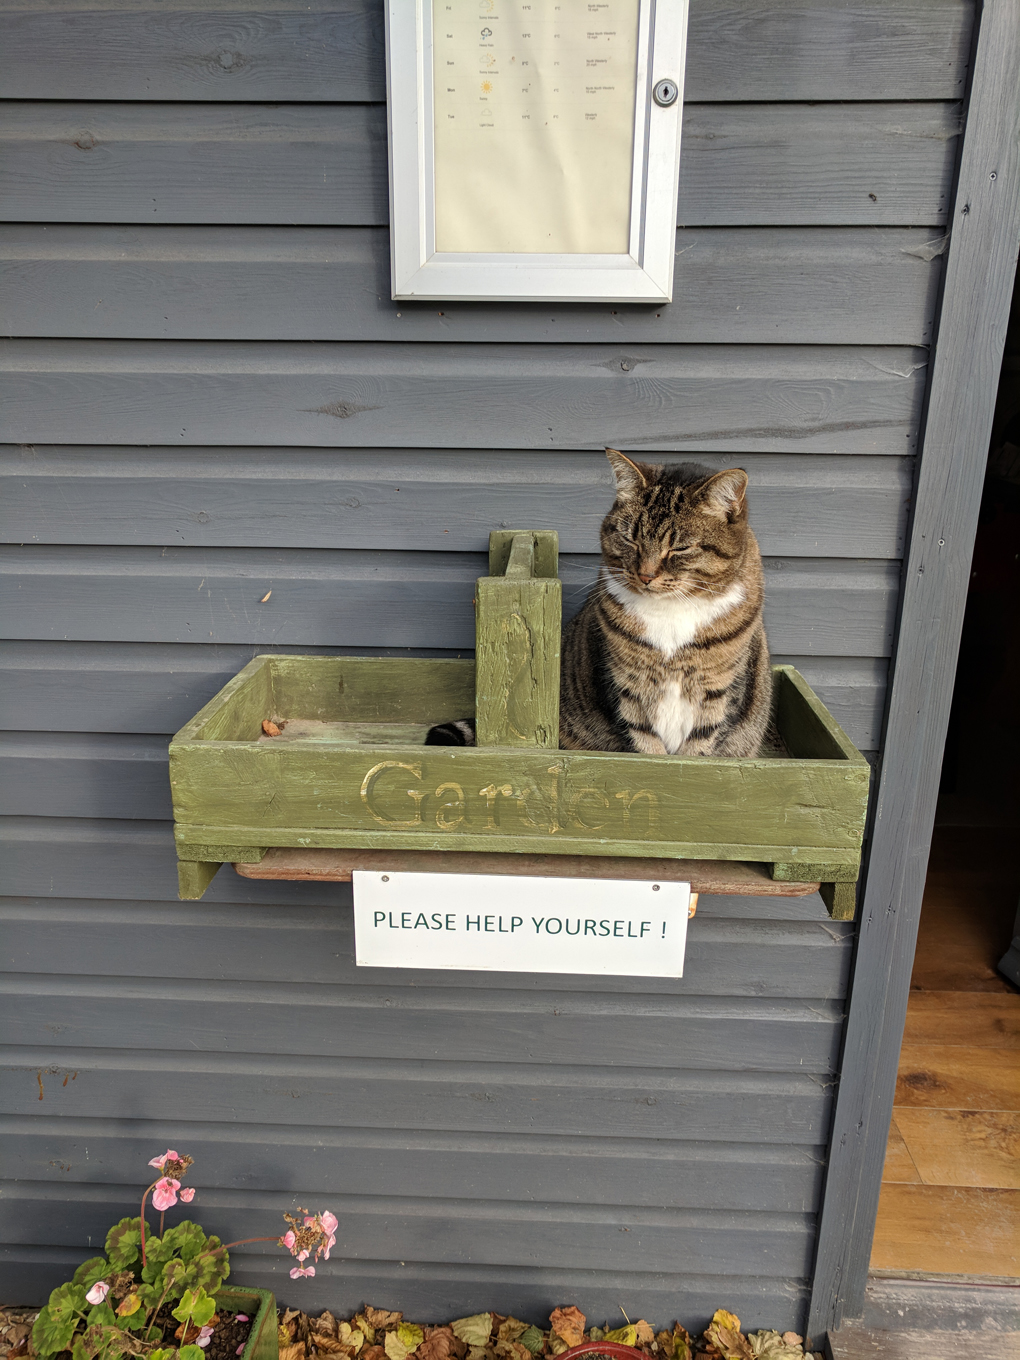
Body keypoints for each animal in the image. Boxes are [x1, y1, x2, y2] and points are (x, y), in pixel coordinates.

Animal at [427, 454, 772, 756]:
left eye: (680, 548)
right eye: (630, 539)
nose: (645, 575)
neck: (671, 610)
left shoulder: (719, 691)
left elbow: (699, 747)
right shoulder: (628, 687)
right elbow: (646, 745)